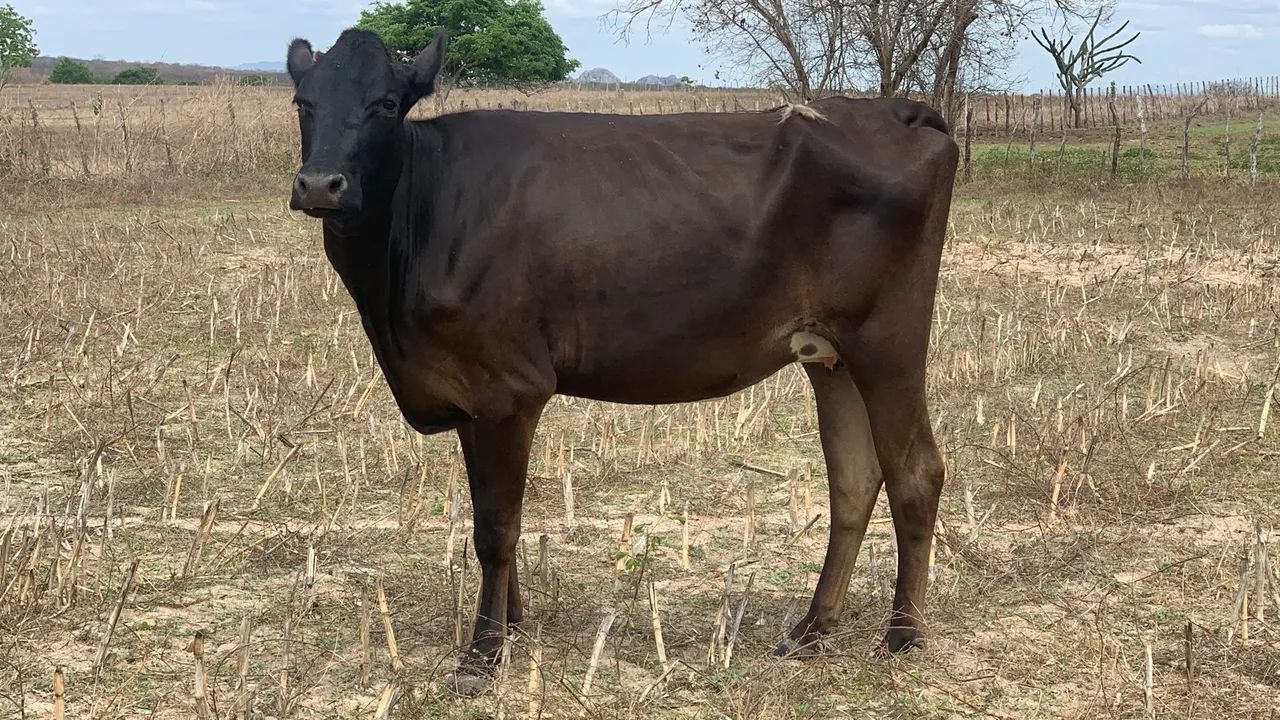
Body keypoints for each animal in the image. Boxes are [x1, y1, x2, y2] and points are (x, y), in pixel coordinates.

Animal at [286, 28, 958, 695]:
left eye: (386, 103)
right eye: (303, 102)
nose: (319, 184)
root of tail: (891, 110)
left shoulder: (509, 389)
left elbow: (496, 528)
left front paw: (483, 654)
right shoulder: (470, 398)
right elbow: (490, 516)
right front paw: (512, 623)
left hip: (888, 341)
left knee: (915, 472)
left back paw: (903, 634)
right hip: (830, 357)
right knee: (854, 480)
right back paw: (810, 631)